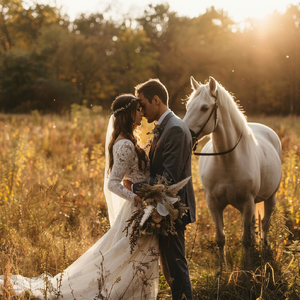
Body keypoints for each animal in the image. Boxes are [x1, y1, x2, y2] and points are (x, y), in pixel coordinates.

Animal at [183, 77, 282, 260]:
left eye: (204, 108)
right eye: (188, 107)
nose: (184, 134)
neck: (227, 161)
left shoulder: (248, 202)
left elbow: (246, 240)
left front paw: (247, 265)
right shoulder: (213, 204)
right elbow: (220, 239)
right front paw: (223, 268)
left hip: (270, 197)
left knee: (265, 224)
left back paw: (264, 250)